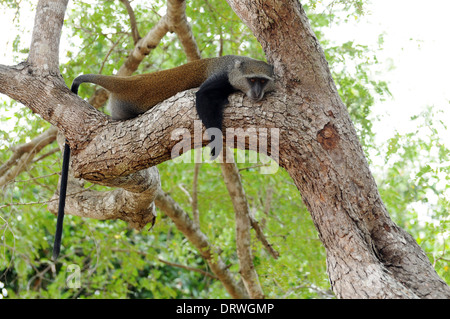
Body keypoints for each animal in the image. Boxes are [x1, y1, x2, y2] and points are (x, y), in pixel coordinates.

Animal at [54, 55, 276, 260]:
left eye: (262, 81)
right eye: (252, 80)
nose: (257, 93)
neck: (234, 65)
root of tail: (128, 83)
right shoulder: (221, 78)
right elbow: (202, 96)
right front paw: (216, 142)